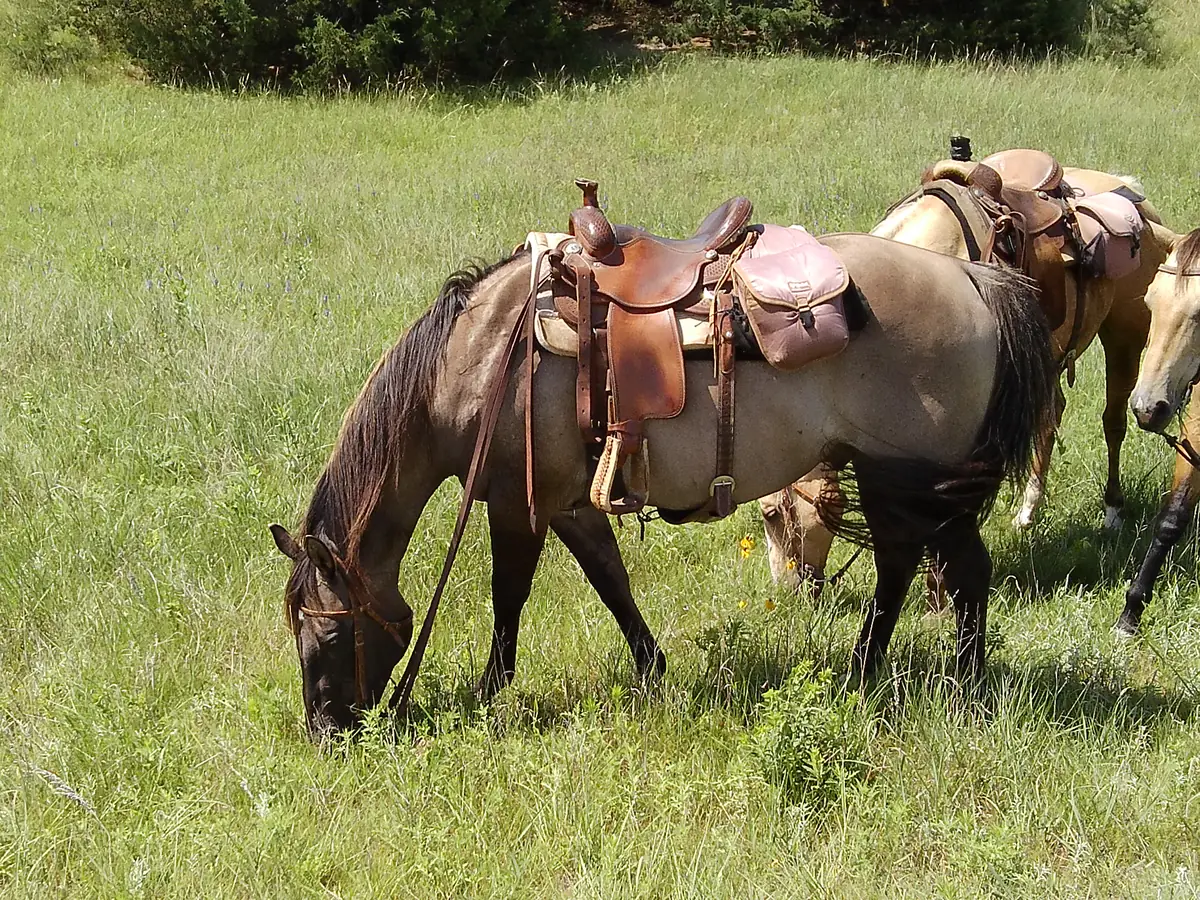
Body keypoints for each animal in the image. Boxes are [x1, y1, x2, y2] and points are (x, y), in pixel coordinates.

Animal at [269, 231, 1055, 738]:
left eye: (327, 633)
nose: (325, 731)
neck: (484, 361)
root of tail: (976, 282)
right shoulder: (570, 503)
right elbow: (609, 579)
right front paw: (652, 671)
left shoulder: (518, 505)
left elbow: (508, 596)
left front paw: (491, 693)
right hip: (890, 474)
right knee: (903, 564)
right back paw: (865, 673)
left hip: (917, 476)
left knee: (961, 570)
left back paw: (962, 689)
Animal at [761, 156, 1177, 596]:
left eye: (772, 514)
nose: (786, 590)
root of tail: (1133, 197)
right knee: (1050, 419)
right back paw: (1028, 511)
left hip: (1124, 335)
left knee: (1113, 422)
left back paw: (1112, 510)